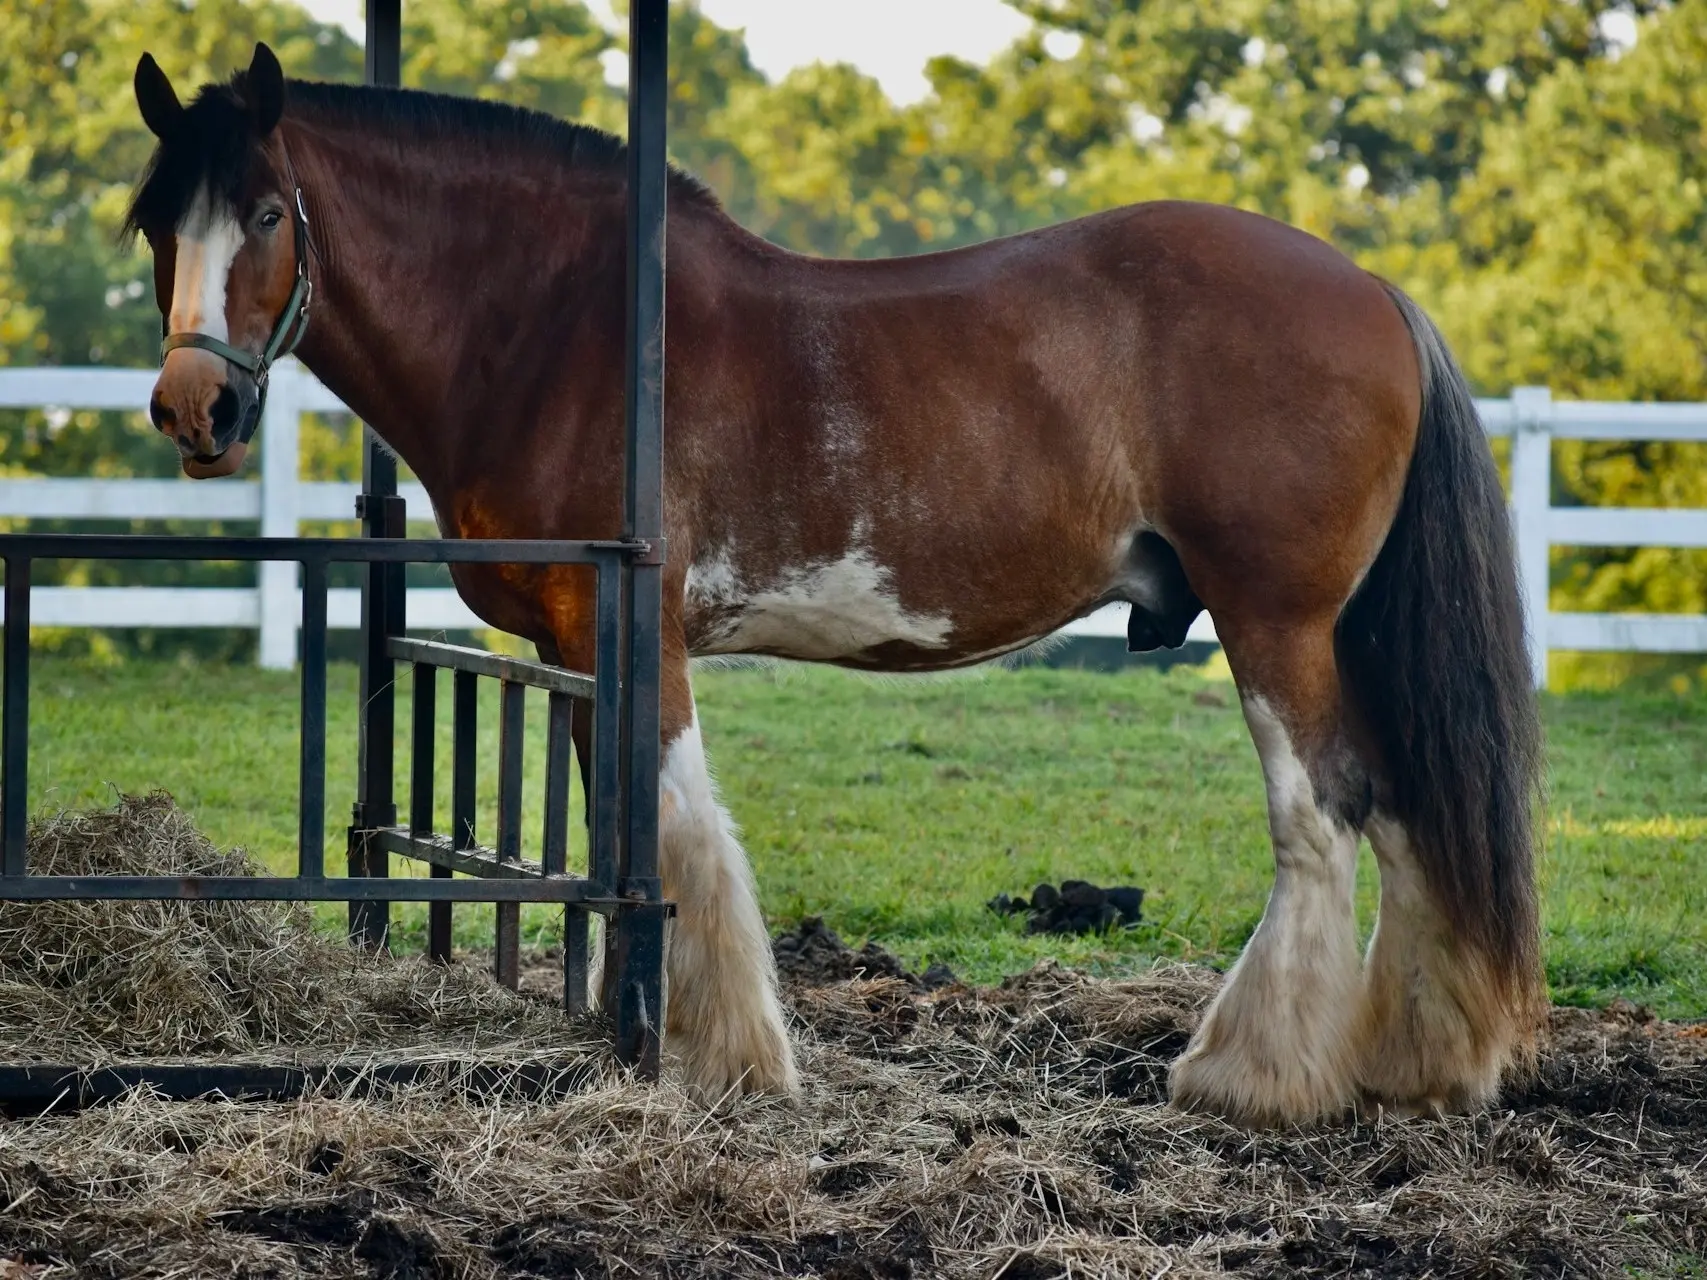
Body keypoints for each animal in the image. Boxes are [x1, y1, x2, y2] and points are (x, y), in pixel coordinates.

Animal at [126, 45, 1543, 1126]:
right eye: (156, 223)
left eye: (266, 214)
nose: (196, 409)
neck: (565, 325)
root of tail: (1374, 290)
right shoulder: (577, 641)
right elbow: (615, 824)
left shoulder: (638, 624)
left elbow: (676, 828)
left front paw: (725, 1055)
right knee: (1408, 809)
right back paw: (1415, 1063)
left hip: (1277, 622)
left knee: (1325, 815)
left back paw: (1254, 1074)